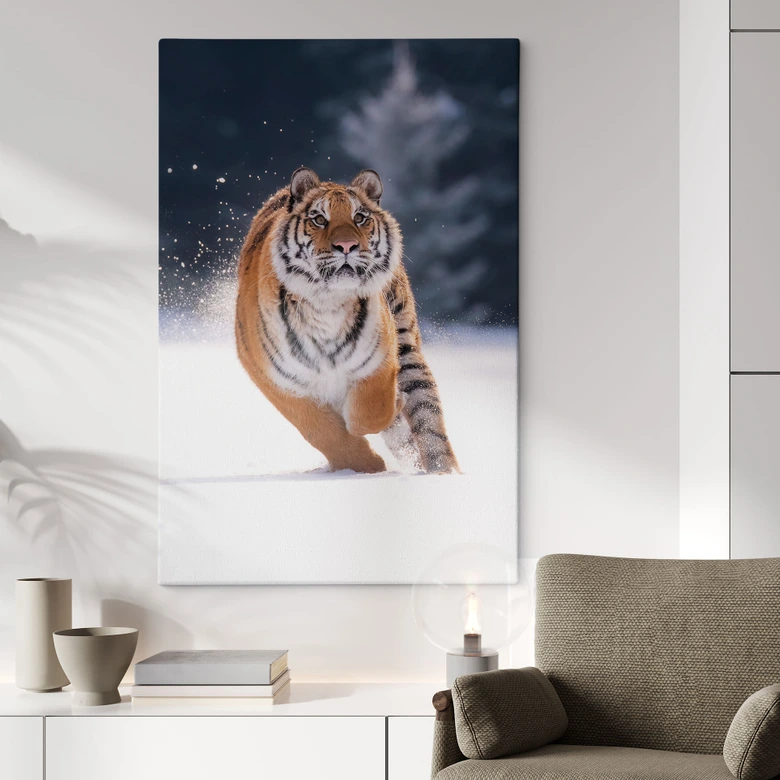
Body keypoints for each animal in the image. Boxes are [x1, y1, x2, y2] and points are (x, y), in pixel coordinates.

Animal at [235, 166, 459, 475]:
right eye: (319, 219)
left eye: (360, 218)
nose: (346, 245)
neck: (327, 302)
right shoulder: (274, 378)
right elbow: (321, 431)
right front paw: (366, 466)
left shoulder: (379, 358)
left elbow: (371, 413)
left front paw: (392, 405)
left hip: (408, 347)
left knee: (429, 422)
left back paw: (444, 474)